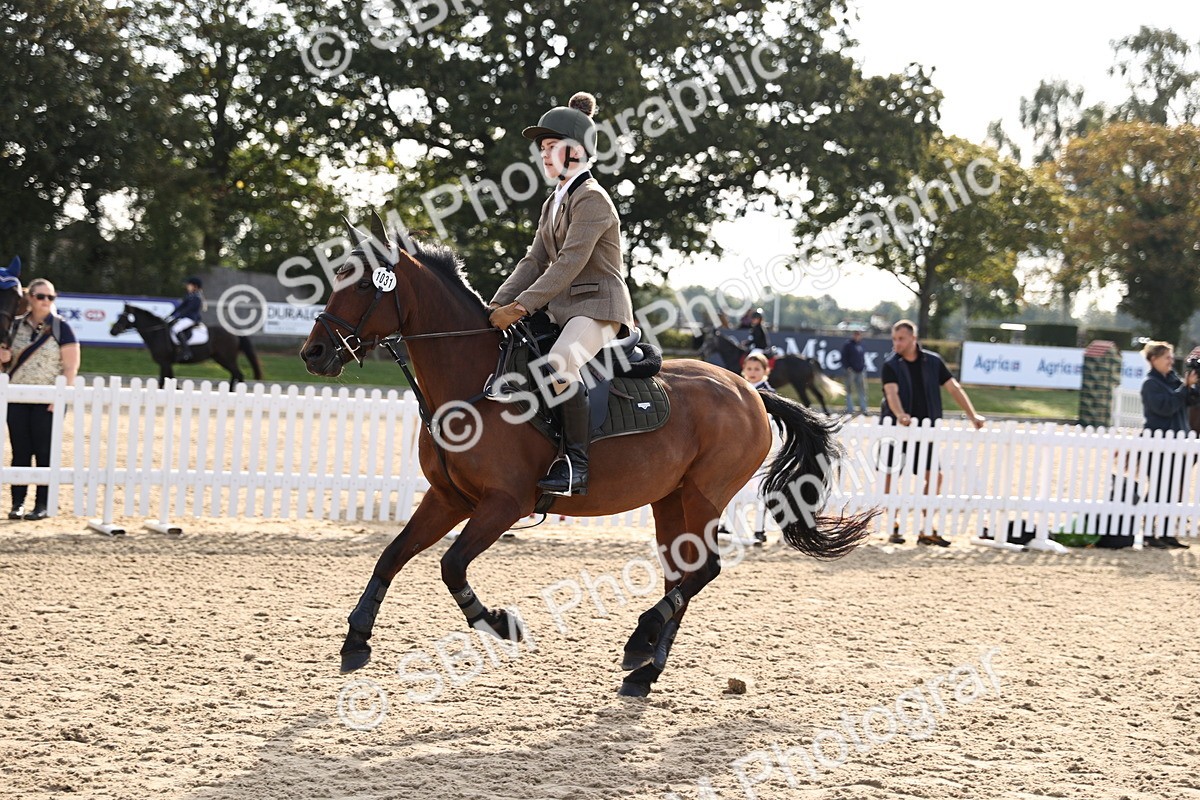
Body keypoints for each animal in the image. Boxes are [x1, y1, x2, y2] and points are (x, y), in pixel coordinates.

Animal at [109, 303, 263, 385]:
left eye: (122, 317)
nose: (112, 331)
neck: (156, 333)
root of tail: (234, 332)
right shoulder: (167, 364)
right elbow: (169, 382)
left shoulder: (165, 363)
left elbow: (162, 382)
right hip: (222, 359)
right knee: (235, 375)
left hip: (226, 358)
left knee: (238, 375)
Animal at [697, 326, 844, 414]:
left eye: (710, 340)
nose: (702, 352)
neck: (735, 356)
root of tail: (806, 359)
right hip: (809, 383)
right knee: (819, 396)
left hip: (799, 384)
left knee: (807, 401)